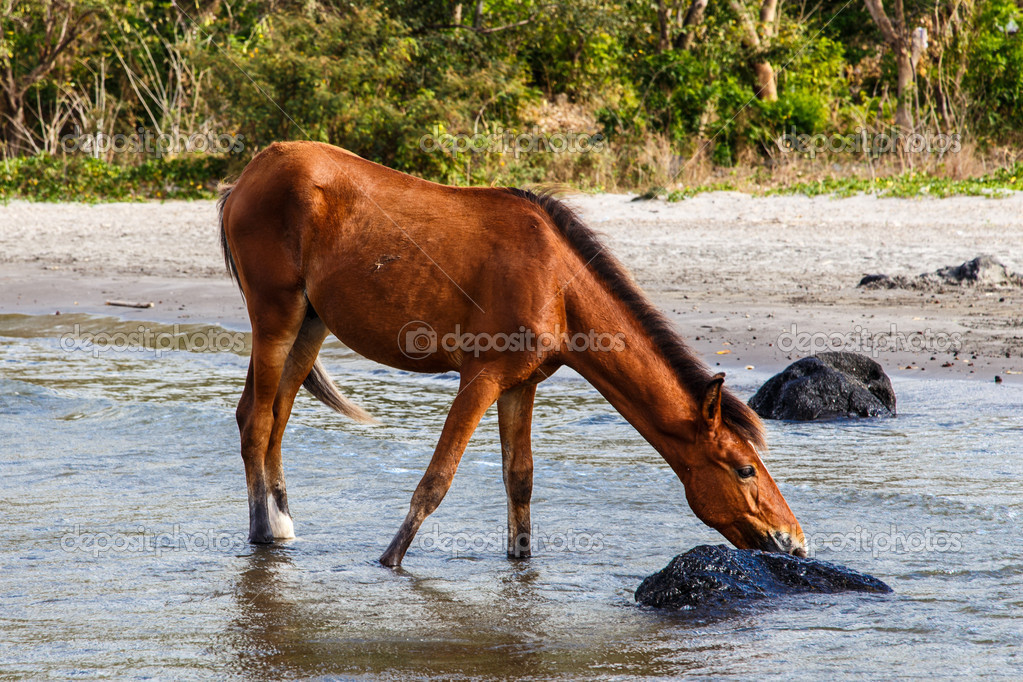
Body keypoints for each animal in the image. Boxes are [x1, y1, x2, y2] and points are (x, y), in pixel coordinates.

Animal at [217, 140, 806, 564]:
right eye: (744, 469)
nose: (794, 541)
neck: (557, 285)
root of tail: (248, 175)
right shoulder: (481, 379)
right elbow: (437, 480)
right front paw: (389, 561)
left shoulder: (522, 385)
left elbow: (519, 480)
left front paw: (521, 563)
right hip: (276, 319)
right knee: (257, 422)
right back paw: (263, 534)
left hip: (309, 326)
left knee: (273, 419)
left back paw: (281, 527)